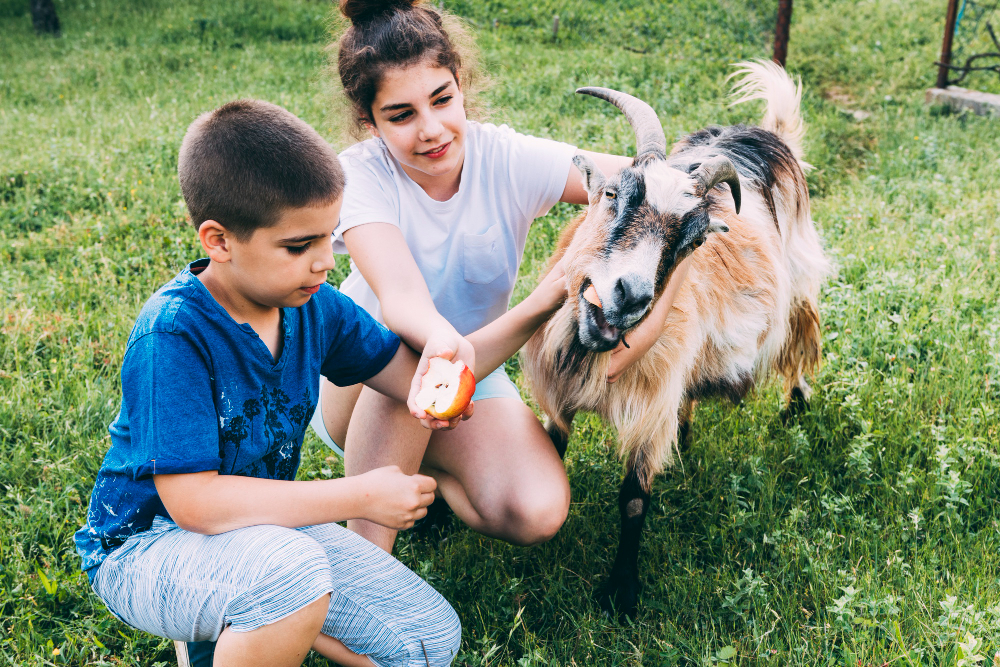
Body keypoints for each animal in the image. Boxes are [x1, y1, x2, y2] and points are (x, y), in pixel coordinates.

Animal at [524, 60, 828, 620]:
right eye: (611, 194)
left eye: (692, 238)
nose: (630, 294)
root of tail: (766, 135)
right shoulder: (562, 393)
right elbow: (550, 451)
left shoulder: (649, 407)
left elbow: (634, 499)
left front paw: (621, 593)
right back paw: (685, 441)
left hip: (797, 285)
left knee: (800, 340)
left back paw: (795, 406)